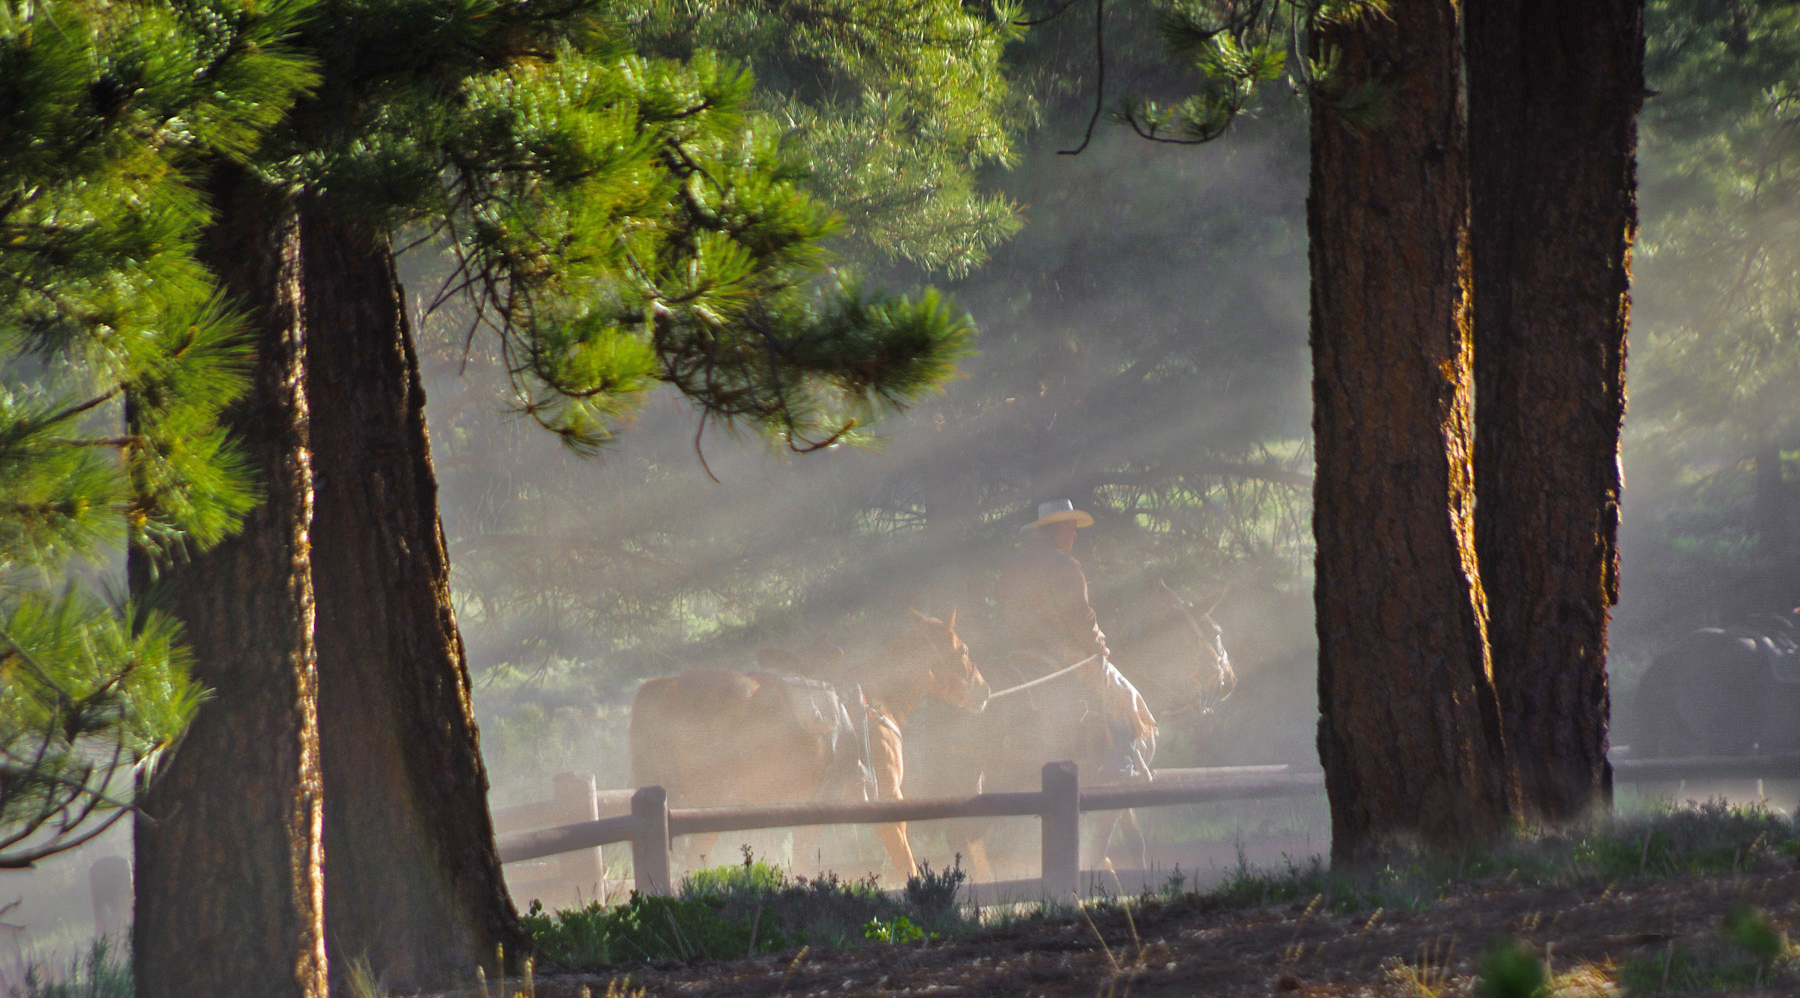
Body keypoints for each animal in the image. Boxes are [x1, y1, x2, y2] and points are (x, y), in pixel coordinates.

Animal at [633, 605, 993, 879]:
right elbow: (907, 865)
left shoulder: (811, 811)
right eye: (962, 649)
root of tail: (669, 685)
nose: (984, 690)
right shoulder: (890, 799)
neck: (875, 701)